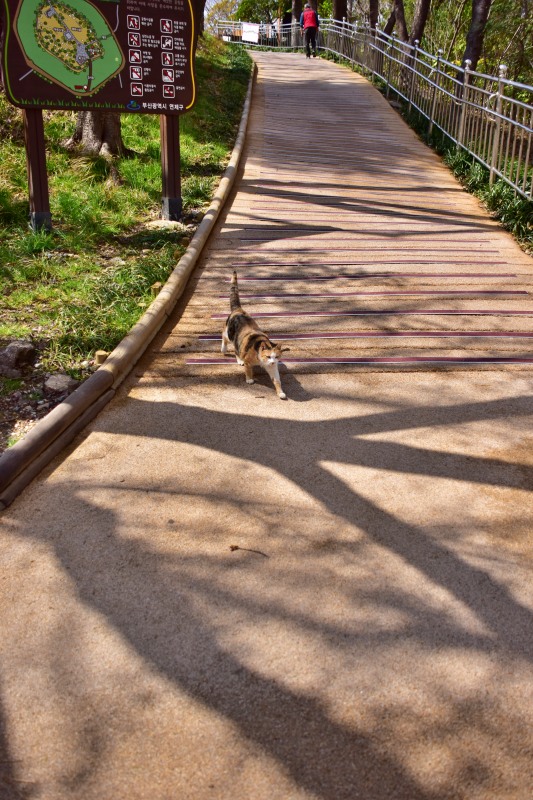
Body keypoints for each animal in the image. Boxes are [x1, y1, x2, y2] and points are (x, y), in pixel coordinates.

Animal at [221, 271, 289, 399]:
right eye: (268, 356)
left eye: (276, 357)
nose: (273, 362)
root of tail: (238, 310)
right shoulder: (249, 362)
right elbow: (248, 370)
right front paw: (249, 379)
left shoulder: (273, 368)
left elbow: (277, 380)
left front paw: (281, 392)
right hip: (230, 333)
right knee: (224, 336)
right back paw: (227, 351)